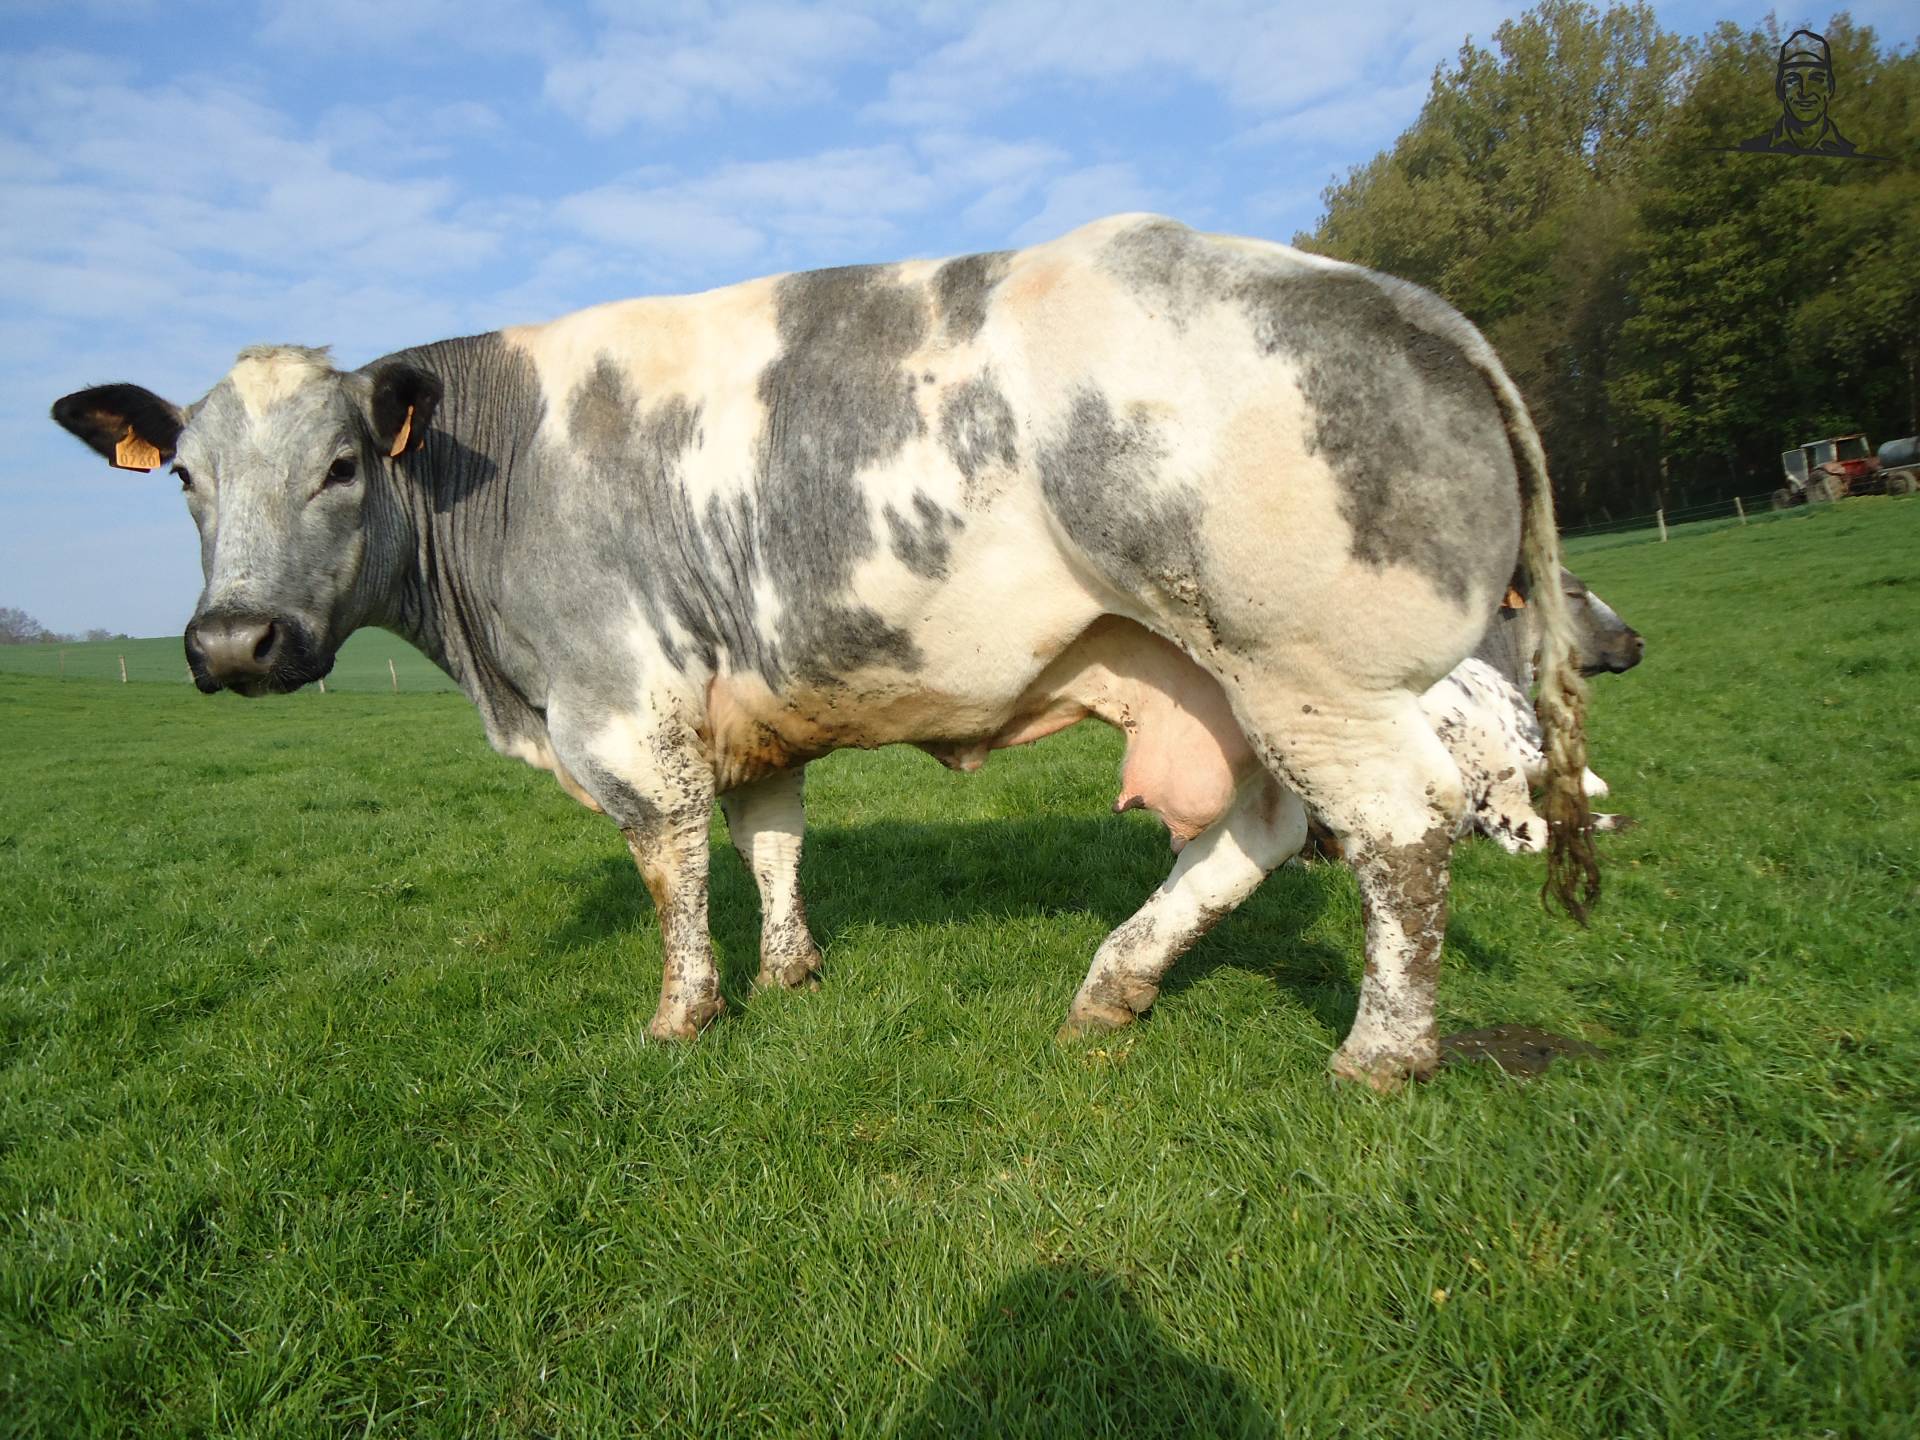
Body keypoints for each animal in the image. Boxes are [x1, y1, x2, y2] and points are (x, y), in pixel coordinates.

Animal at [51, 214, 1597, 1090]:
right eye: (182, 476)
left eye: (340, 467)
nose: (236, 638)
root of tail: (1411, 301)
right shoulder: (745, 705)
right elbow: (772, 839)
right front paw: (790, 976)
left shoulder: (625, 702)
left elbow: (672, 864)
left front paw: (682, 1019)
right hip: (1226, 671)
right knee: (1270, 829)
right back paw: (1113, 987)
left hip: (1308, 664)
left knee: (1397, 831)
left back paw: (1380, 1055)